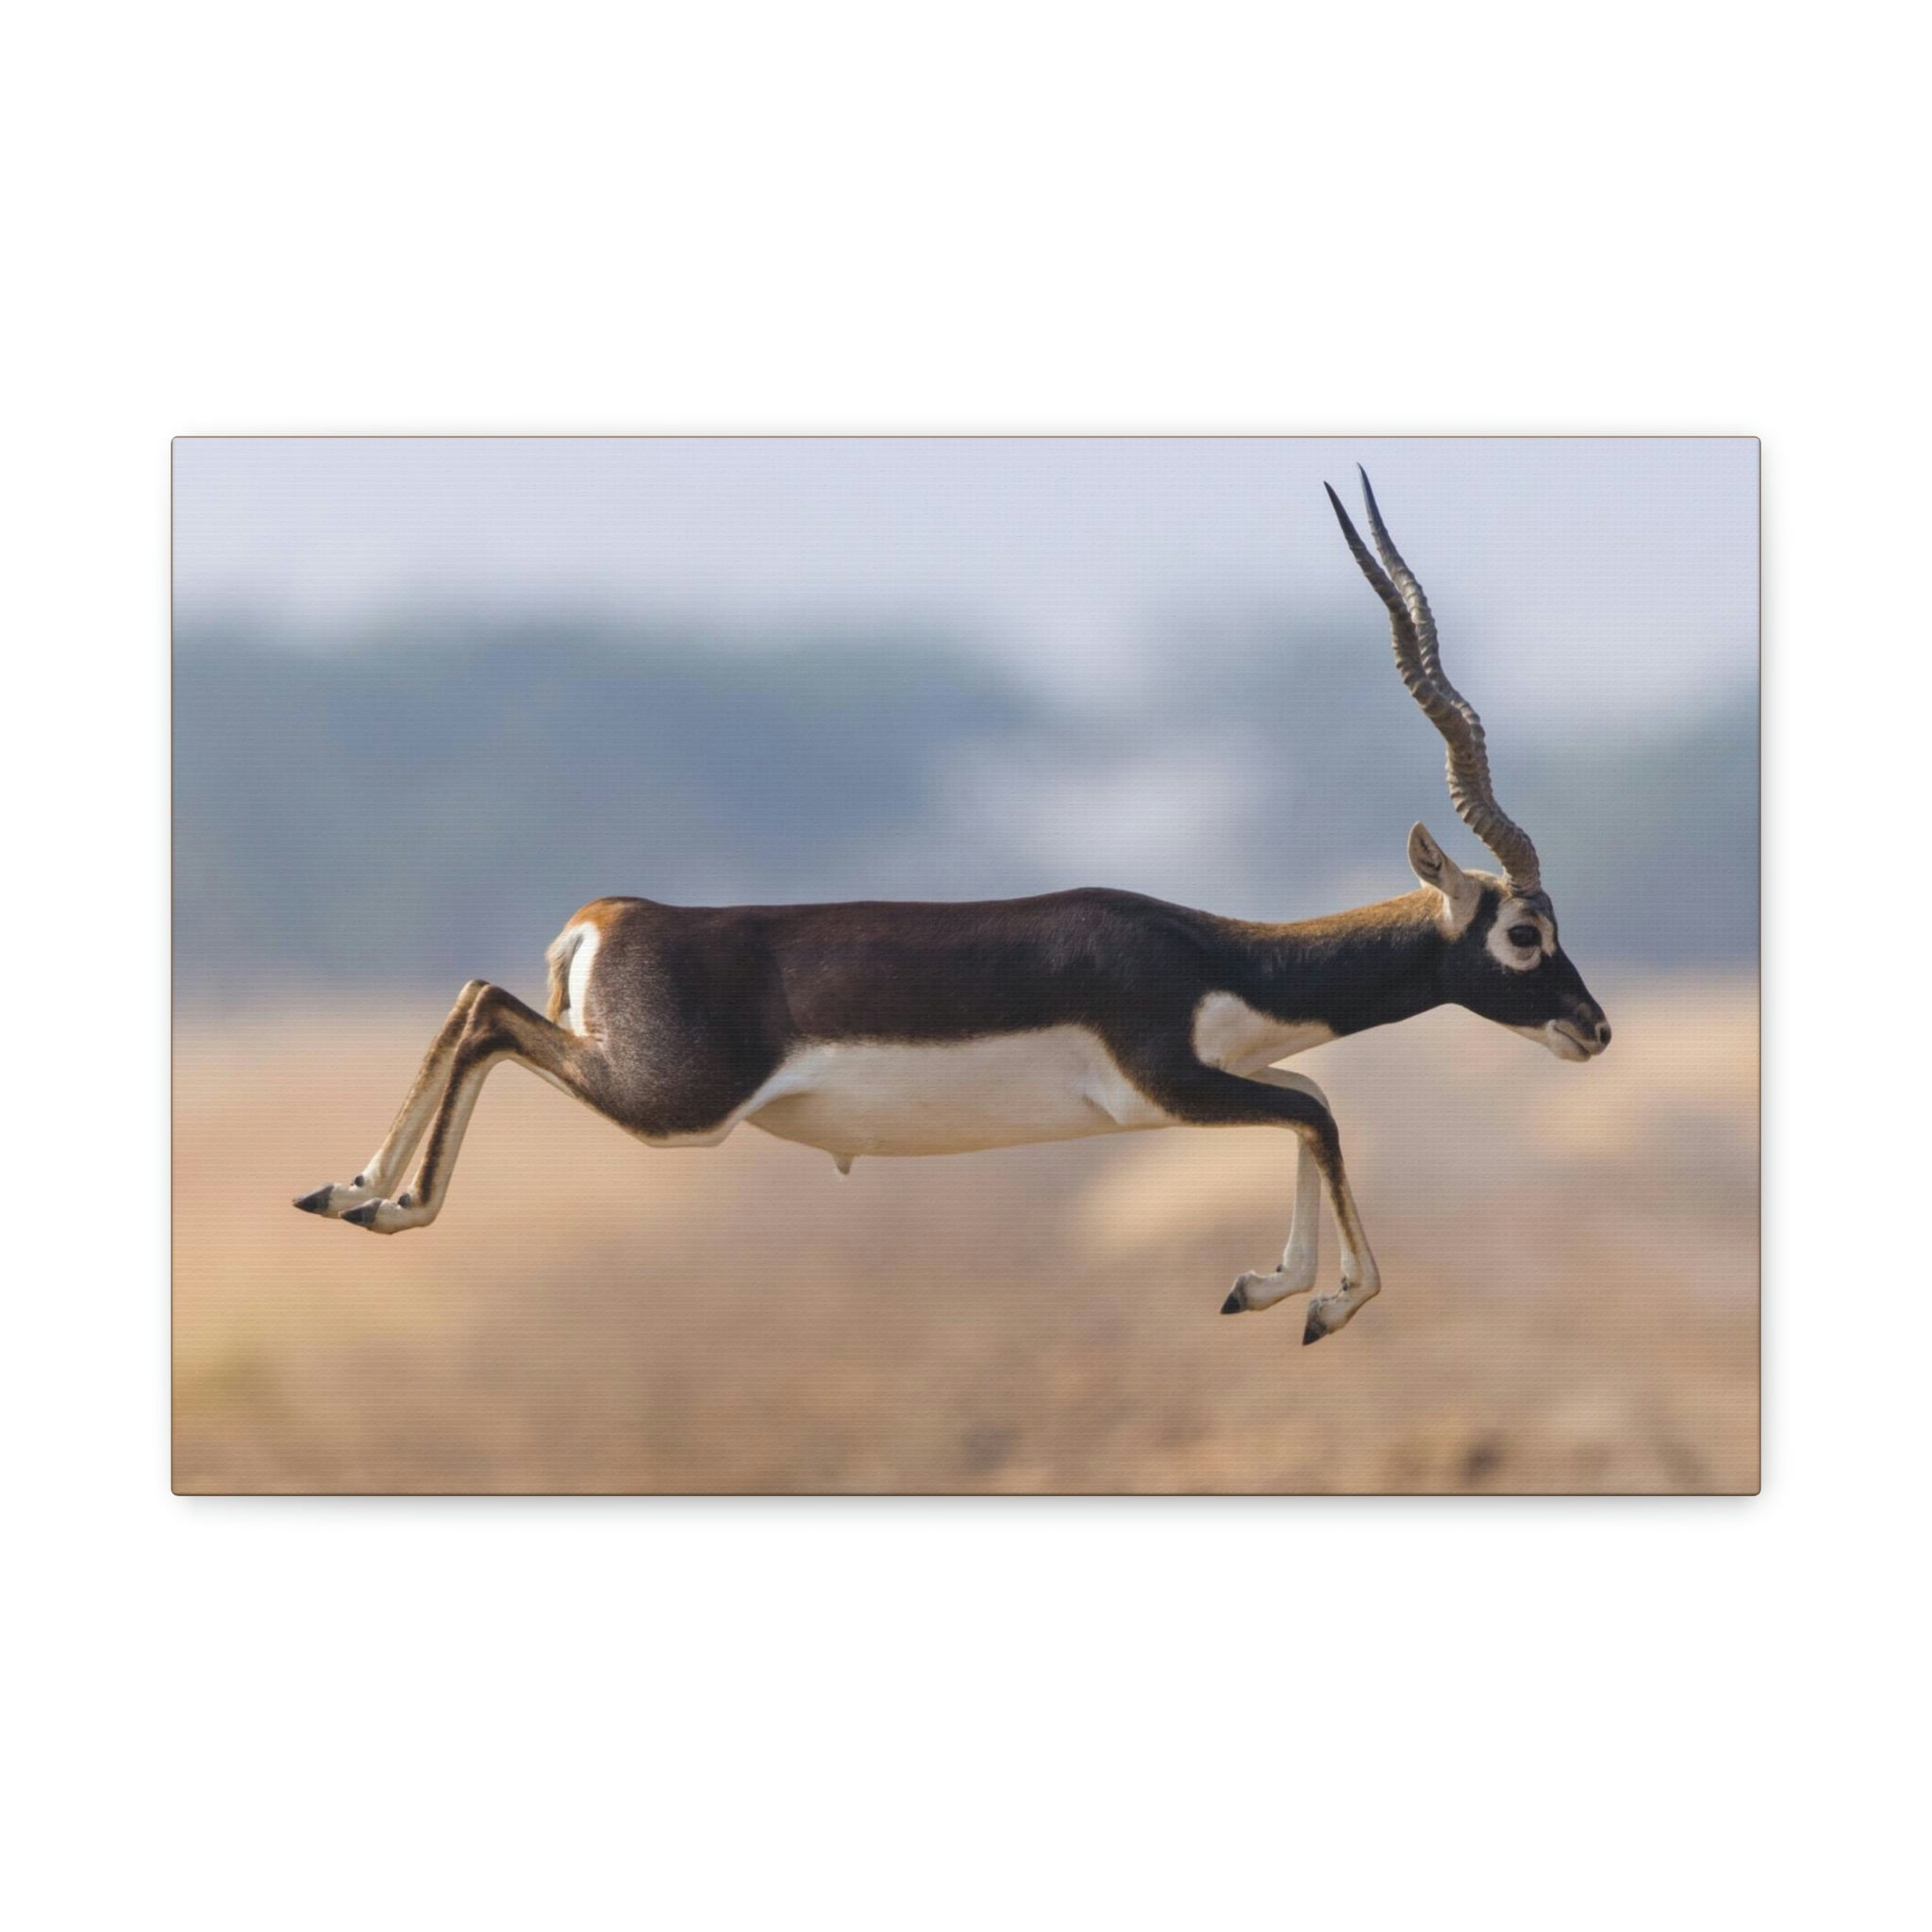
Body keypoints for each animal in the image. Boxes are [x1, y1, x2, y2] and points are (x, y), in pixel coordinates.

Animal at [294, 470, 1610, 1344]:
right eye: (1523, 930)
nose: (1592, 1027)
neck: (1213, 954)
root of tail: (610, 916)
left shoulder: (1207, 1083)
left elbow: (1311, 1103)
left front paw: (1265, 1286)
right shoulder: (1164, 1086)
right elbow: (1315, 1110)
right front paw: (1323, 1299)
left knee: (477, 999)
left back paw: (357, 1193)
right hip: (671, 1104)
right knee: (486, 1010)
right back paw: (374, 1198)